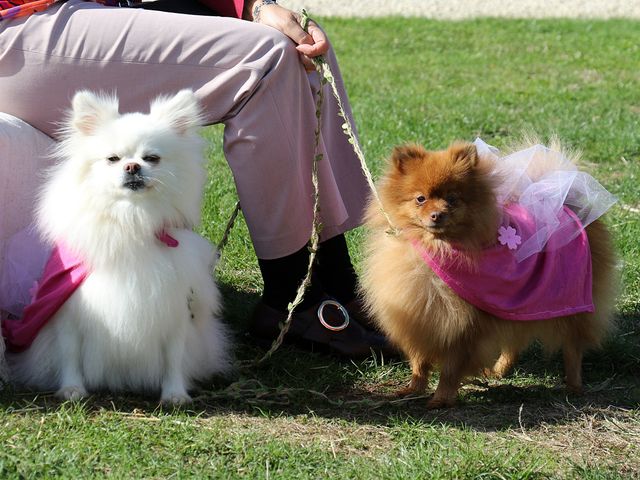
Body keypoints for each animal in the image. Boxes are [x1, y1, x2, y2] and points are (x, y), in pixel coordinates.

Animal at [7, 90, 232, 404]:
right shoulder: (68, 315)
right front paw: (72, 389)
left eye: (152, 158)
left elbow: (174, 358)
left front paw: (174, 394)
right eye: (113, 159)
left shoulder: (174, 310)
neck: (131, 221)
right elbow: (69, 354)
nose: (132, 166)